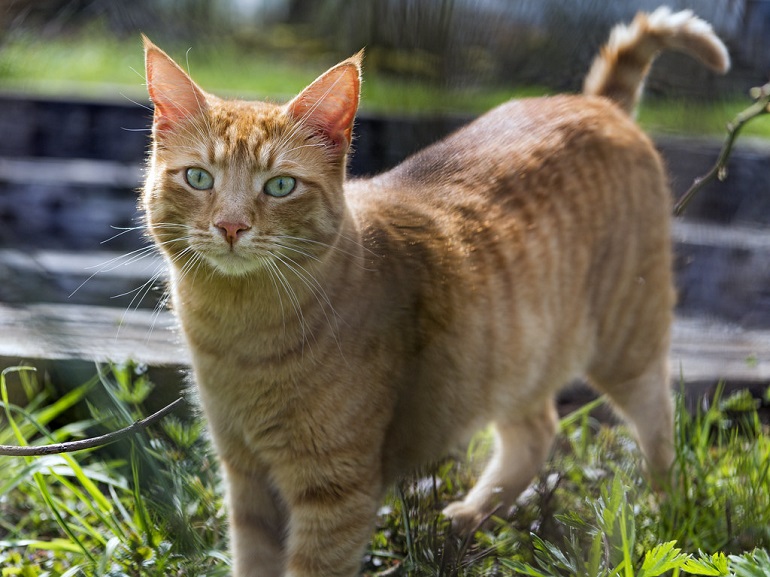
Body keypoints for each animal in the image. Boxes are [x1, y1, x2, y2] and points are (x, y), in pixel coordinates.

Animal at [142, 7, 728, 576]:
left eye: (280, 185)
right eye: (199, 178)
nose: (231, 226)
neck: (240, 337)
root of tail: (596, 103)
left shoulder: (335, 491)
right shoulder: (246, 478)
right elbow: (253, 560)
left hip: (626, 344)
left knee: (659, 424)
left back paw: (665, 510)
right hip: (513, 354)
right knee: (537, 430)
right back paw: (473, 515)